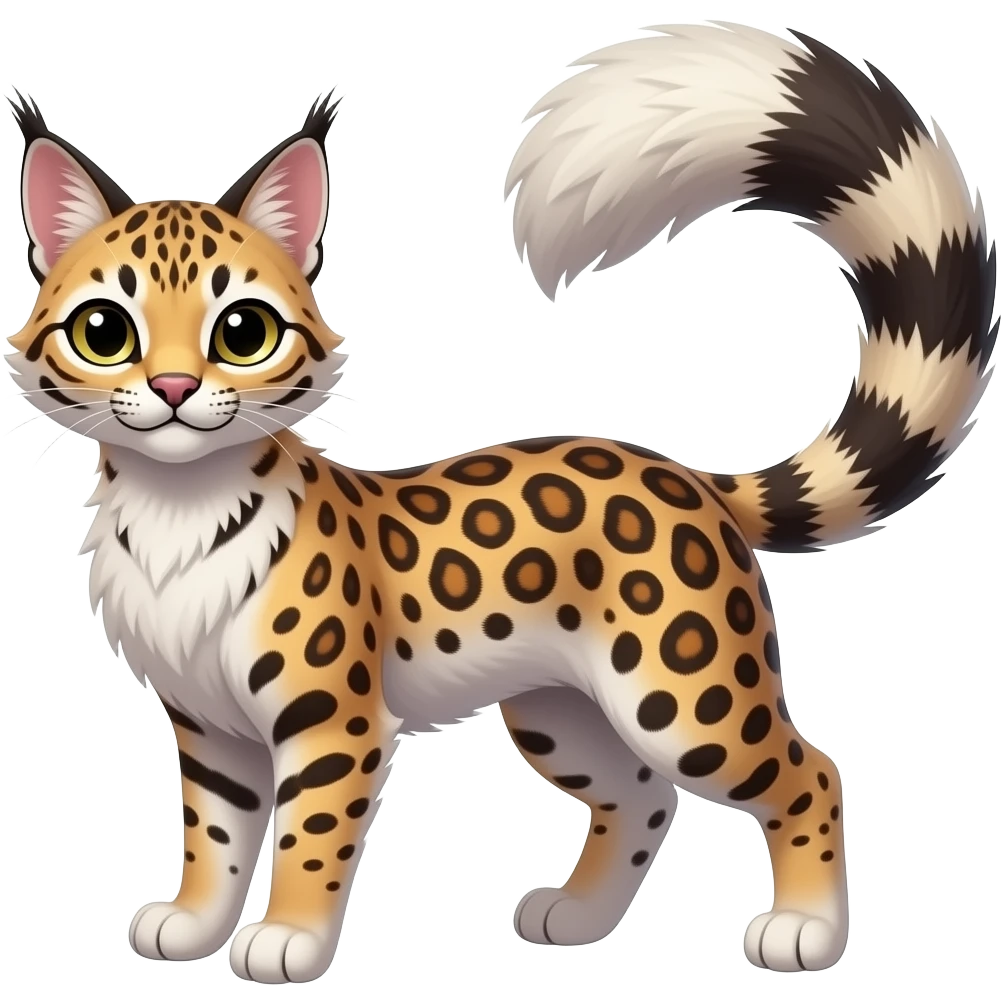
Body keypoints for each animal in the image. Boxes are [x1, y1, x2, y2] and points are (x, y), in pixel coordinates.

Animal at [4, 20, 997, 984]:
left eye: (241, 331)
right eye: (105, 331)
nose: (172, 387)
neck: (175, 516)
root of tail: (686, 473)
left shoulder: (331, 722)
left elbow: (306, 841)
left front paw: (286, 938)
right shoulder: (209, 728)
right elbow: (211, 835)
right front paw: (193, 923)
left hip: (683, 695)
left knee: (808, 772)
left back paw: (805, 931)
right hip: (560, 710)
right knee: (644, 795)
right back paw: (580, 917)